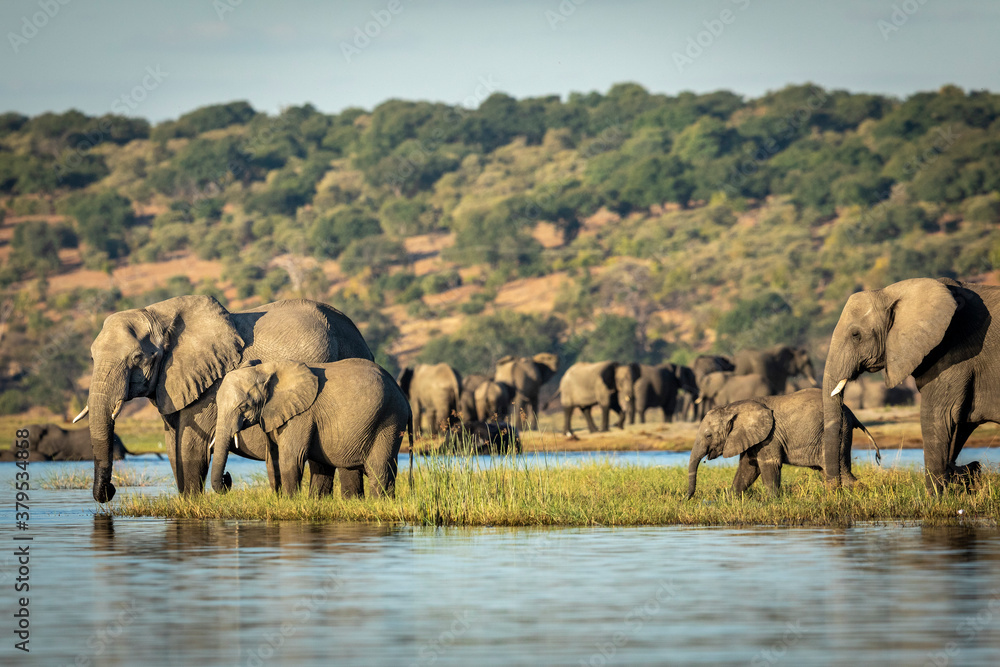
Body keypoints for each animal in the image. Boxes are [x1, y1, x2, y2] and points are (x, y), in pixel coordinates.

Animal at [78, 294, 373, 502]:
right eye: (91, 356)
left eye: (137, 358)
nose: (111, 491)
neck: (160, 315)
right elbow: (173, 444)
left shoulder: (211, 383)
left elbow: (190, 445)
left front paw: (192, 505)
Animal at [211, 359, 411, 498]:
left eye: (243, 407)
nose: (227, 477)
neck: (266, 369)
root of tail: (402, 394)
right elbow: (273, 458)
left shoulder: (301, 416)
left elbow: (292, 458)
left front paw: (289, 501)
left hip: (389, 421)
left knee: (379, 470)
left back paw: (380, 501)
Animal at [688, 389, 878, 498]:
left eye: (708, 435)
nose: (687, 498)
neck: (733, 407)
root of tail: (851, 412)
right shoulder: (753, 437)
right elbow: (748, 468)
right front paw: (731, 500)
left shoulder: (770, 436)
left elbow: (768, 465)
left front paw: (772, 502)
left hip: (838, 433)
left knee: (839, 470)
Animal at [824, 277, 996, 495]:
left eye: (855, 335)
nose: (836, 489)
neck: (892, 291)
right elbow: (959, 426)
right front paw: (963, 476)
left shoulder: (954, 354)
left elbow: (939, 417)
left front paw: (935, 498)